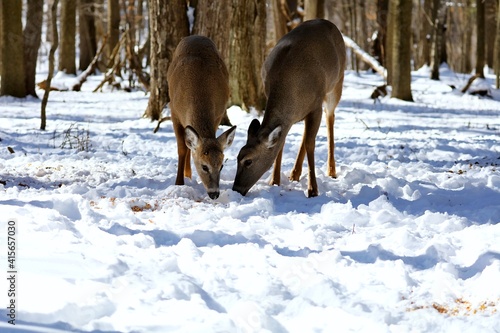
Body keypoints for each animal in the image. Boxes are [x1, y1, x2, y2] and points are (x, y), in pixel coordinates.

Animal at [168, 35, 236, 200]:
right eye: (204, 166)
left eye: (222, 165)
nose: (214, 194)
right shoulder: (174, 112)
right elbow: (182, 149)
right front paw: (179, 183)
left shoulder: (219, 113)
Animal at [232, 18, 346, 197]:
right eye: (237, 157)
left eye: (248, 161)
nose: (236, 189)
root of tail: (327, 22)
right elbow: (283, 143)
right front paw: (274, 181)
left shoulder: (315, 105)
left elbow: (310, 144)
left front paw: (313, 189)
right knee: (306, 134)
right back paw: (294, 173)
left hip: (337, 82)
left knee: (330, 118)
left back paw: (331, 170)